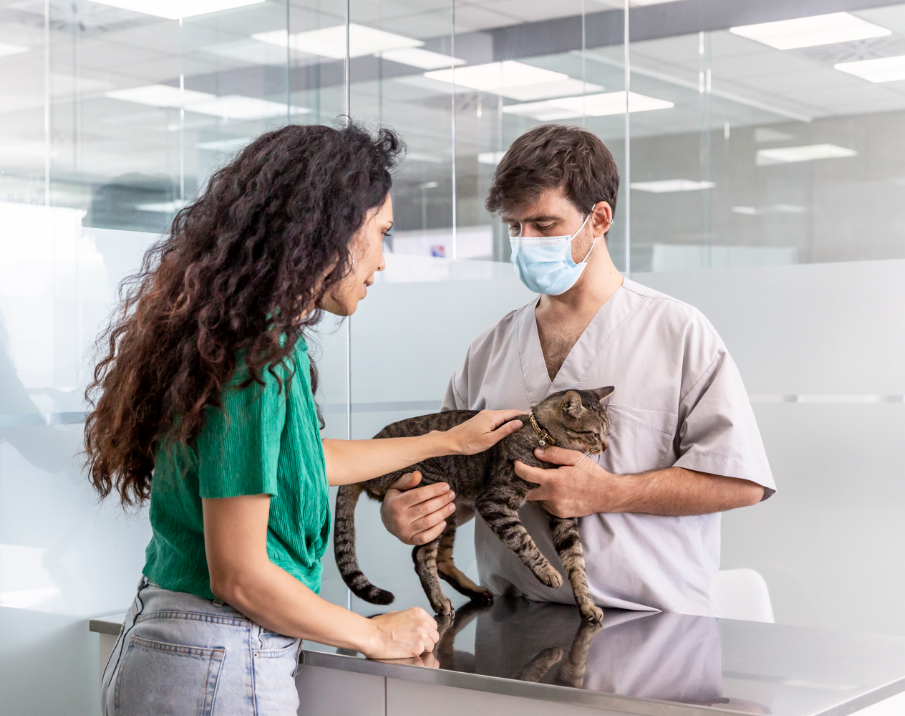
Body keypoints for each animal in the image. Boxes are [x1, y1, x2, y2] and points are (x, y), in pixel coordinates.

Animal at [332, 386, 616, 620]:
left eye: (606, 433)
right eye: (594, 434)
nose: (605, 447)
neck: (543, 438)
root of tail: (372, 442)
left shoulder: (561, 510)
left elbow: (576, 560)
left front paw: (586, 604)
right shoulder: (495, 502)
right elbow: (524, 541)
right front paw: (547, 571)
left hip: (448, 508)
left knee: (439, 559)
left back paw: (475, 592)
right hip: (433, 493)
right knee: (423, 556)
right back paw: (440, 601)